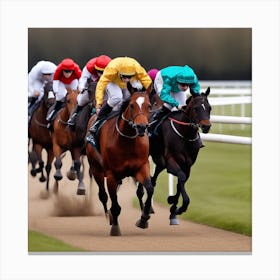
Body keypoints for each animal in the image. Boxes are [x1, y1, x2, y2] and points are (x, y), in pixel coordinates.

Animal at [86, 88, 154, 236]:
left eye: (149, 106)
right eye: (132, 105)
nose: (141, 127)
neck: (127, 141)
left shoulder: (142, 167)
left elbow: (150, 189)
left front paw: (144, 218)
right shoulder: (111, 175)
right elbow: (115, 204)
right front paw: (115, 227)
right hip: (96, 169)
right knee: (103, 195)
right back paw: (109, 215)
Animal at [137, 87, 212, 225]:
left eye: (209, 108)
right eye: (196, 108)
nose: (206, 126)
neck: (185, 134)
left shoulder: (188, 165)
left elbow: (181, 181)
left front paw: (173, 207)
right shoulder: (171, 161)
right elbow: (181, 177)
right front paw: (179, 205)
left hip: (160, 162)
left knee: (153, 180)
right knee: (143, 185)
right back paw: (143, 212)